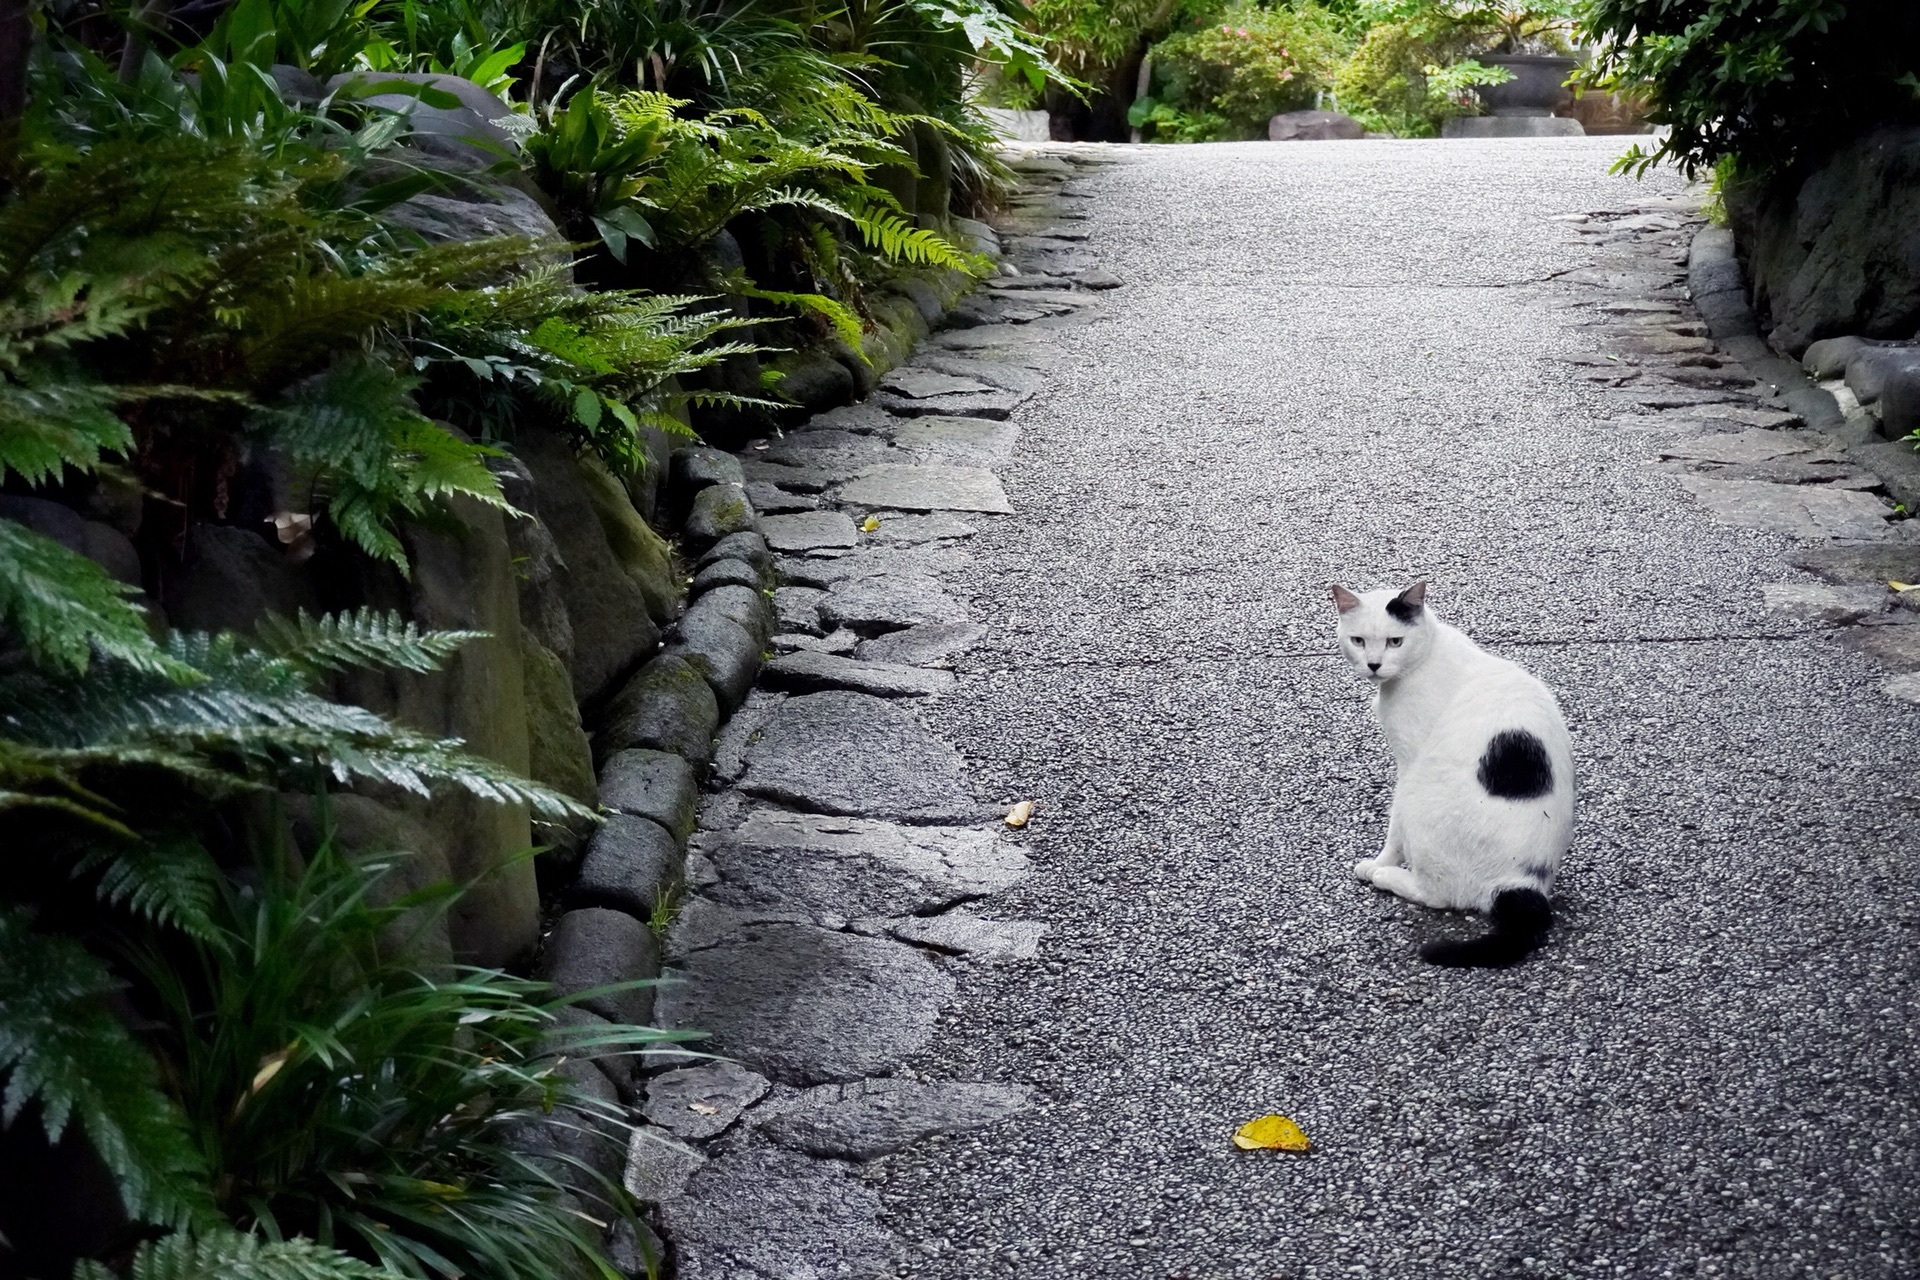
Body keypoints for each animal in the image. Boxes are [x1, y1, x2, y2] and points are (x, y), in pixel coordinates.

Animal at [1336, 583, 1574, 971]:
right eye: (1358, 640)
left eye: (1395, 642)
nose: (1373, 664)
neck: (1427, 655)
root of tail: (1523, 884)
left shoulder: (1408, 762)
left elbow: (1393, 831)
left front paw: (1380, 862)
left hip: (1420, 797)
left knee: (1440, 895)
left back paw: (1386, 877)